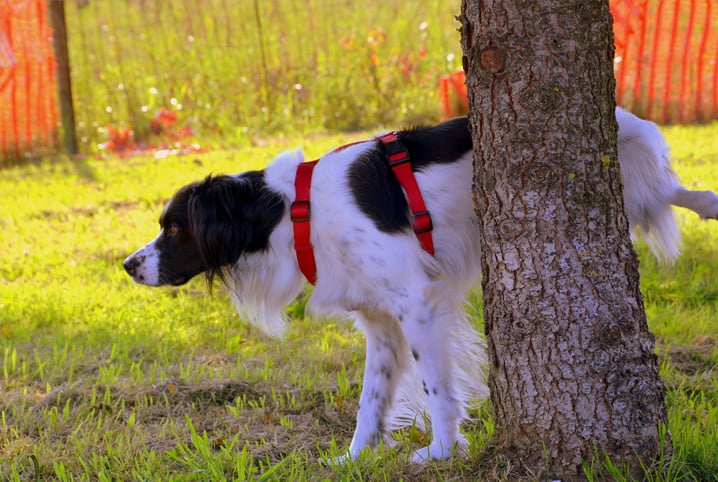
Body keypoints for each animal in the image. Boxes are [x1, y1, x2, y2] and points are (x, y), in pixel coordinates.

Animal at [124, 109, 718, 464]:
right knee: (674, 192)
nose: (128, 265)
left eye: (173, 229)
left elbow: (437, 388)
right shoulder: (381, 323)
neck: (294, 211)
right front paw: (353, 459)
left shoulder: (416, 305)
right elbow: (371, 401)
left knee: (674, 188)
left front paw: (443, 451)